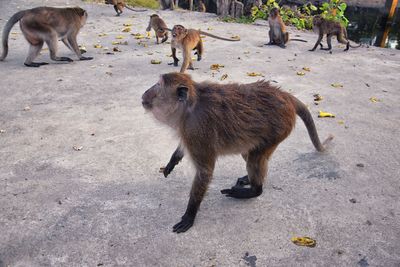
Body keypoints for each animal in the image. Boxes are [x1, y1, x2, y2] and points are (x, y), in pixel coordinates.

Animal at [142, 72, 332, 233]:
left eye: (158, 85)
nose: (144, 93)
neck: (189, 107)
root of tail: (284, 95)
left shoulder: (196, 131)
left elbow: (205, 171)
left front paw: (190, 213)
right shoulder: (188, 132)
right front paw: (172, 161)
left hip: (279, 128)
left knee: (255, 159)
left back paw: (254, 189)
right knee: (250, 153)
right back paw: (249, 179)